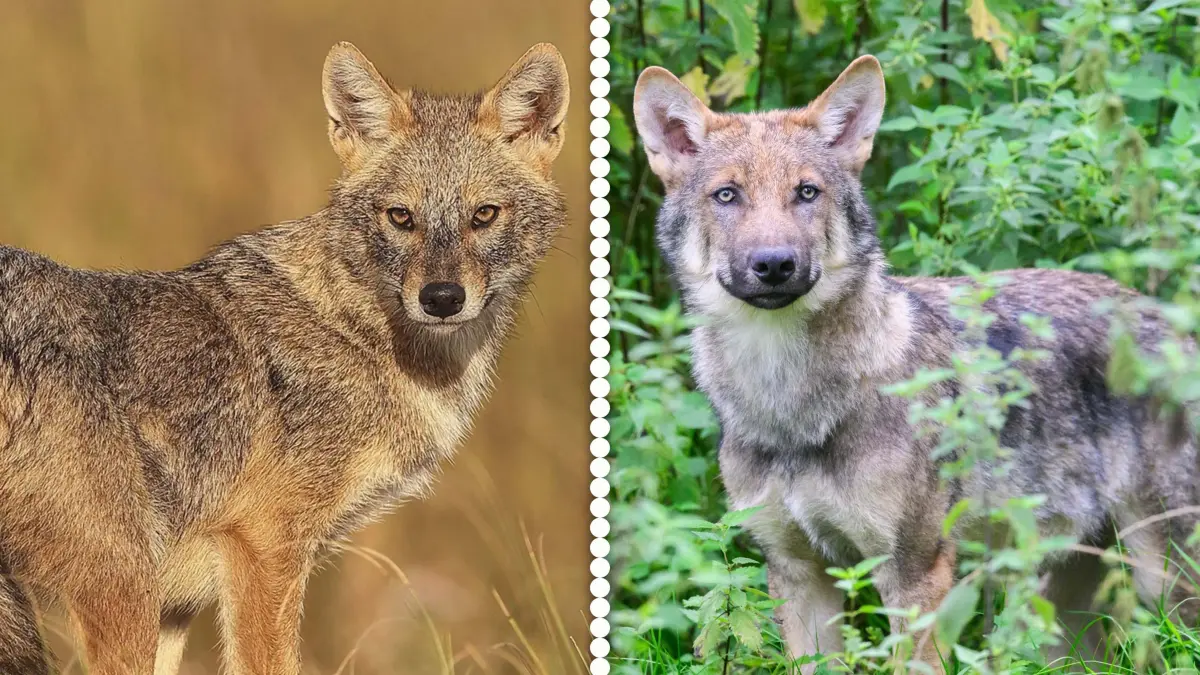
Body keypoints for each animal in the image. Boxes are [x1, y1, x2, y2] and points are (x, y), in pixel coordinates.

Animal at [0, 41, 568, 675]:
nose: (441, 298)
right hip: (119, 587)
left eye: (483, 215)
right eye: (401, 217)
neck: (357, 332)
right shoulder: (264, 549)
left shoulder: (179, 605)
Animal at [633, 56, 1199, 673]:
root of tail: (1172, 322)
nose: (774, 264)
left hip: (1163, 584)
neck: (790, 405)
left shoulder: (914, 575)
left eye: (806, 192)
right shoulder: (799, 575)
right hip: (1064, 618)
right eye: (727, 195)